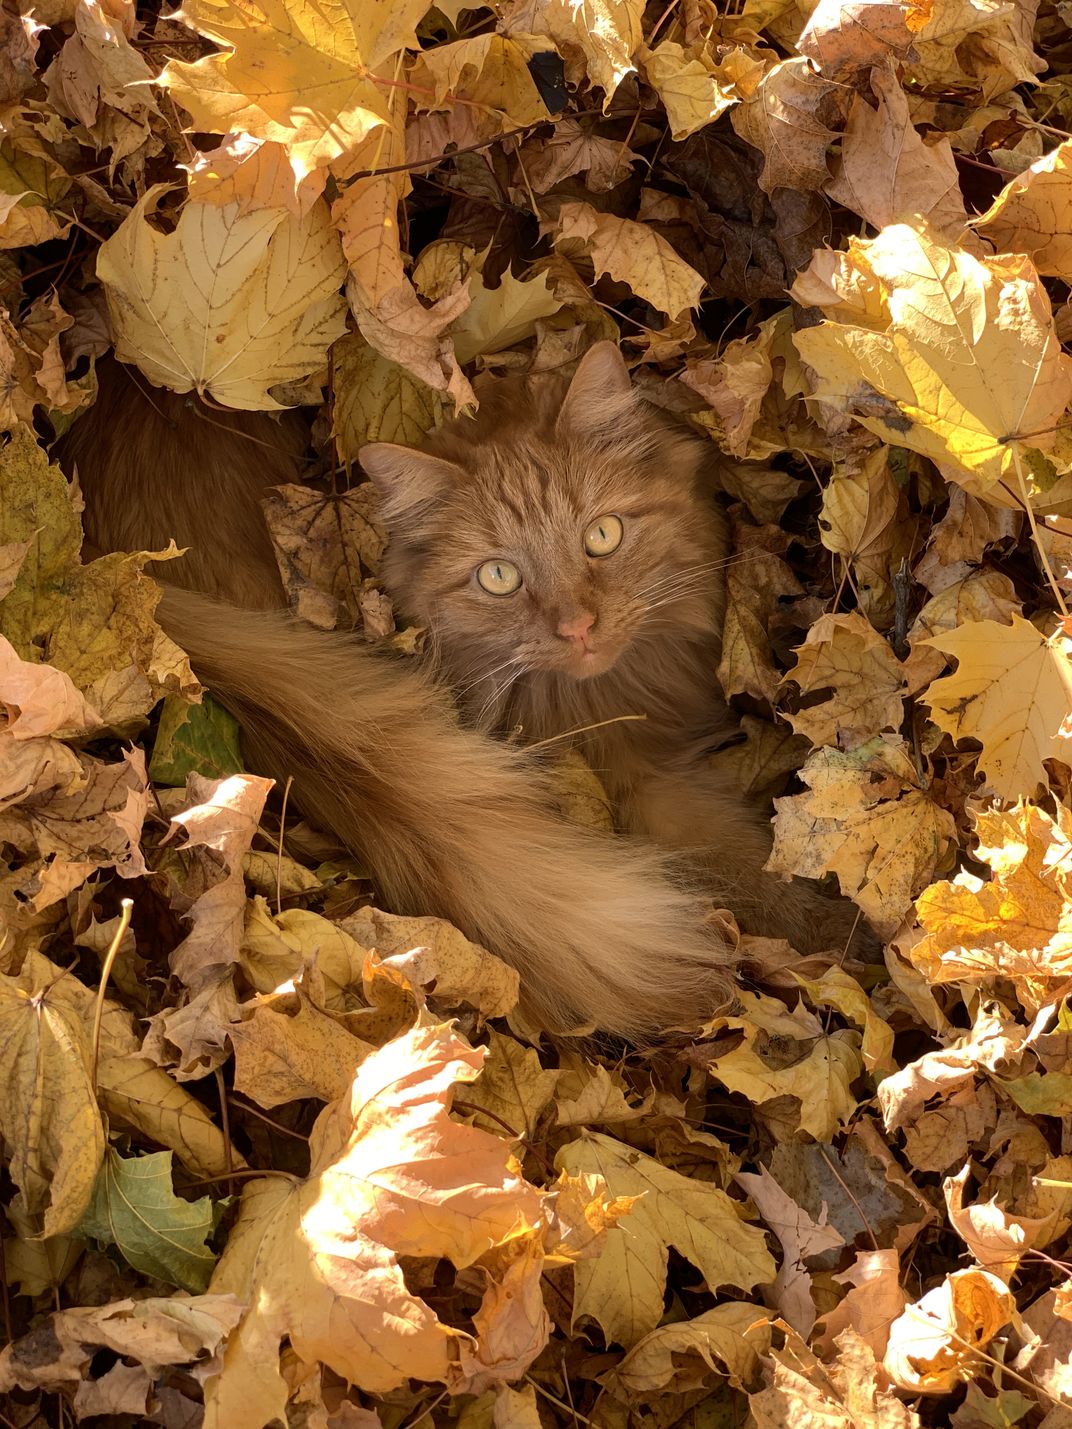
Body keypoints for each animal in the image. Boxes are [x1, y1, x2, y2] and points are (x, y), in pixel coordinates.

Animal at [56, 345, 863, 1040]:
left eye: (602, 536)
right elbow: (753, 865)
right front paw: (837, 931)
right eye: (499, 576)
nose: (578, 627)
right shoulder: (643, 781)